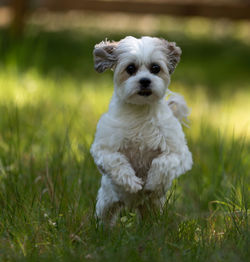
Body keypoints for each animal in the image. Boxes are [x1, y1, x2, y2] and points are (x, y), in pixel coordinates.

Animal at [90, 36, 193, 225]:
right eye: (130, 68)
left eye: (155, 68)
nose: (145, 80)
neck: (140, 112)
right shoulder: (104, 149)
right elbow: (117, 162)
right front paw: (132, 183)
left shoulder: (179, 153)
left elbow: (162, 163)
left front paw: (152, 183)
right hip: (107, 201)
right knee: (106, 217)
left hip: (154, 207)